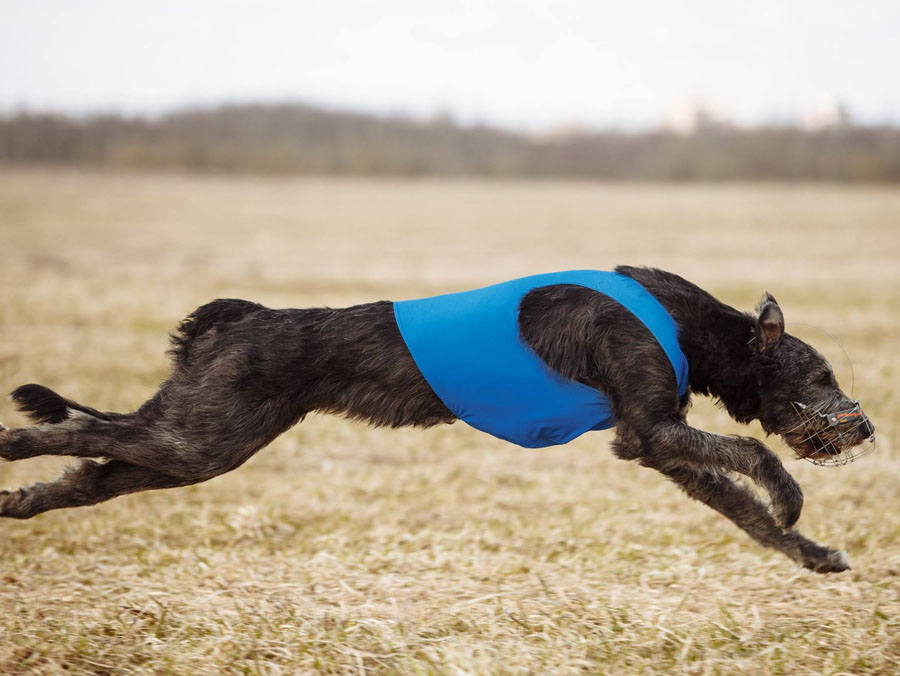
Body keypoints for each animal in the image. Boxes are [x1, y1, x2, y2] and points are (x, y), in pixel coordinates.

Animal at [0, 266, 872, 572]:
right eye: (823, 374)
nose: (865, 428)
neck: (689, 324)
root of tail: (235, 320)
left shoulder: (656, 448)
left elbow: (742, 511)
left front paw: (812, 553)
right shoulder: (652, 431)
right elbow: (752, 457)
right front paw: (793, 499)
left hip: (205, 441)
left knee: (94, 473)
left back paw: (21, 501)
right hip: (201, 432)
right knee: (83, 433)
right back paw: (11, 445)